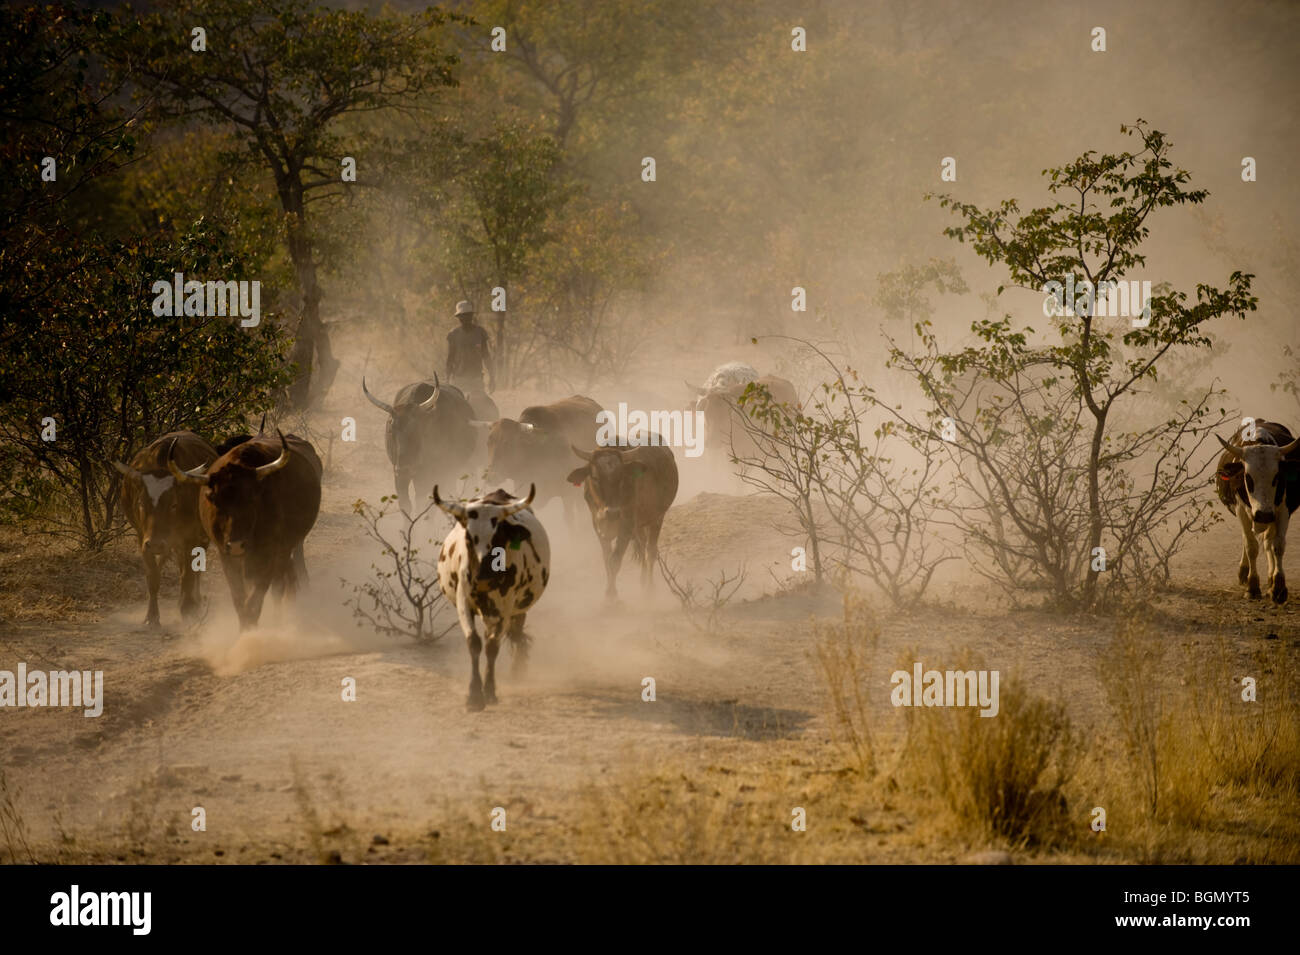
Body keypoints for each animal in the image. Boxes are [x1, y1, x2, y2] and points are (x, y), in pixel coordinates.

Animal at [113, 431, 217, 628]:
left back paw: (194, 601)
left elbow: (189, 574)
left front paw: (188, 610)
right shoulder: (143, 538)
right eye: (140, 503)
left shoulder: (191, 538)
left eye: (173, 504)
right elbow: (153, 577)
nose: (155, 544)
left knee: (193, 572)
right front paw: (152, 616)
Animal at [167, 431, 322, 628]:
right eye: (216, 501)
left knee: (279, 586)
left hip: (283, 550)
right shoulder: (226, 556)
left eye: (251, 500)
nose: (236, 545)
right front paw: (244, 628)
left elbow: (257, 597)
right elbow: (240, 596)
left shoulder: (269, 553)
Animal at [428, 485, 546, 712]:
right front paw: (474, 695)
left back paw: (517, 669)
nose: (483, 574)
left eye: (498, 537)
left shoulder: (506, 609)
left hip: (518, 609)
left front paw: (489, 691)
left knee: (515, 633)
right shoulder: (463, 603)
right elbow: (474, 642)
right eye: (468, 538)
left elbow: (492, 646)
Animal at [566, 441, 681, 597]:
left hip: (657, 518)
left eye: (621, 477)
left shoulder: (626, 527)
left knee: (651, 551)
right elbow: (606, 560)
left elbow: (614, 561)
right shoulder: (598, 527)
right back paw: (642, 581)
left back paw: (649, 588)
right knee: (642, 545)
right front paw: (610, 591)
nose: (612, 513)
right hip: (640, 525)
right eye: (595, 478)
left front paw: (611, 596)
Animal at [1216, 420, 1300, 600]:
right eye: (1248, 477)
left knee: (1268, 542)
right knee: (1249, 540)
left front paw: (1278, 587)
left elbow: (1278, 545)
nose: (1263, 515)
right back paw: (1244, 572)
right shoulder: (1241, 510)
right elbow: (1251, 547)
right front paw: (1252, 586)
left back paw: (1270, 579)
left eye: (1277, 476)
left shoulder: (1283, 511)